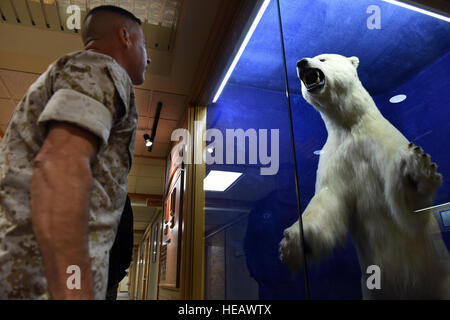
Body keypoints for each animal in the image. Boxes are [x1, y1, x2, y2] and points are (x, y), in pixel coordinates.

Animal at [280, 53, 448, 298]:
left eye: (322, 58)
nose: (301, 63)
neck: (351, 124)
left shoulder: (382, 142)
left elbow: (410, 214)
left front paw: (415, 175)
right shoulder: (337, 156)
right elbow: (329, 199)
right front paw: (295, 243)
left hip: (438, 277)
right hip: (372, 291)